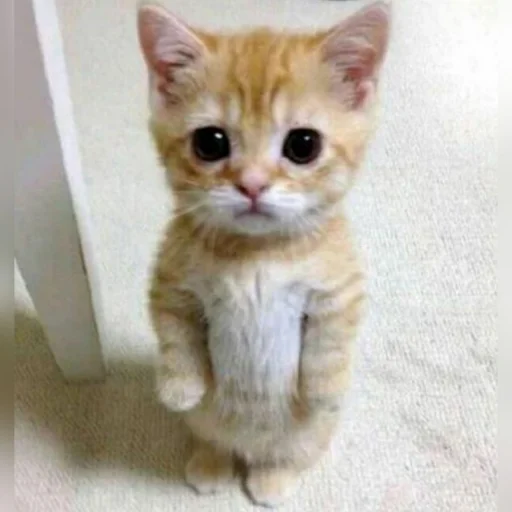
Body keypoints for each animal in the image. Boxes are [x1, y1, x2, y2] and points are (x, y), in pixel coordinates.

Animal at [137, 1, 390, 507]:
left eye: (303, 144)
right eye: (210, 142)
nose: (252, 184)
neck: (255, 255)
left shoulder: (339, 289)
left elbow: (331, 343)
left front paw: (325, 389)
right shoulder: (170, 282)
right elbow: (175, 335)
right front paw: (179, 386)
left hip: (308, 438)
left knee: (285, 455)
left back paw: (271, 479)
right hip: (207, 424)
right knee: (213, 438)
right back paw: (212, 463)